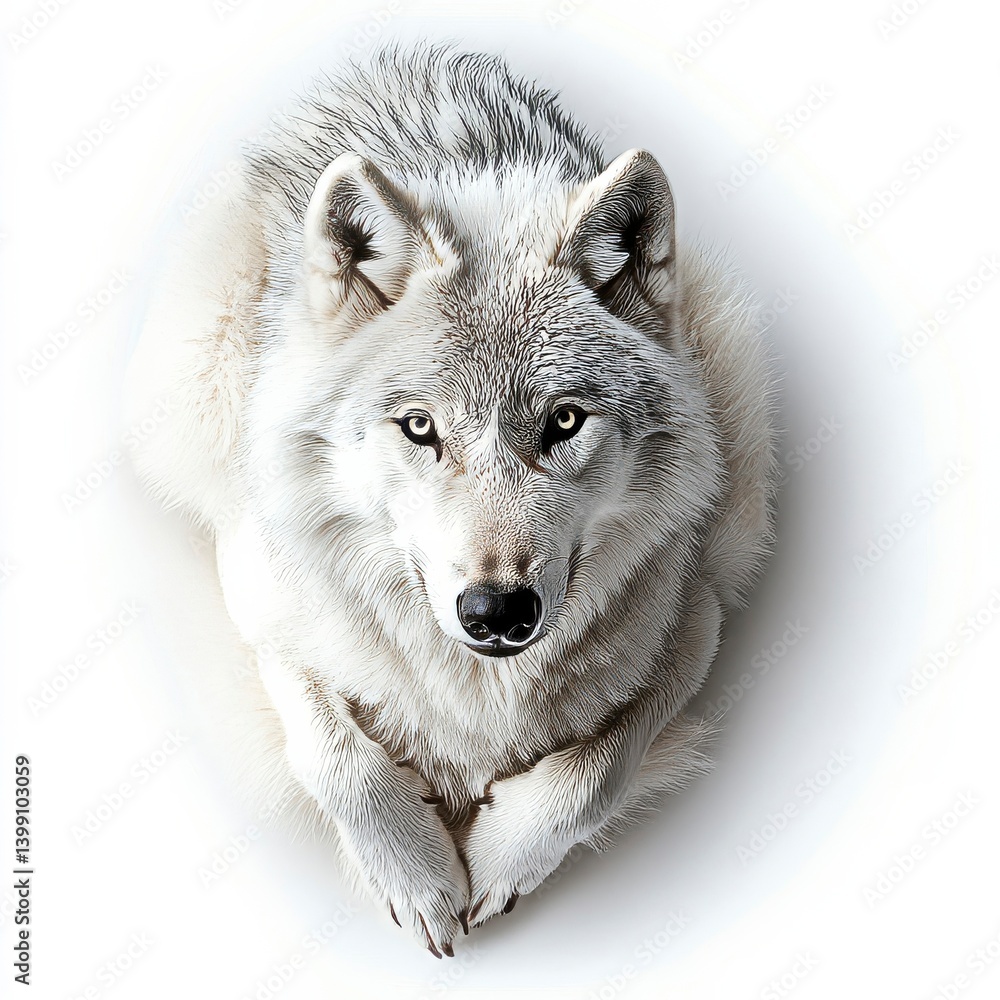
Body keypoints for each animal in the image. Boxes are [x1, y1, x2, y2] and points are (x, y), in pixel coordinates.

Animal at [124, 43, 778, 957]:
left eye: (564, 421)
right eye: (420, 427)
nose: (497, 611)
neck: (479, 693)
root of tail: (398, 58)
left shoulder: (697, 614)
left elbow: (602, 763)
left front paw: (501, 857)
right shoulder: (257, 596)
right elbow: (335, 754)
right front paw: (419, 876)